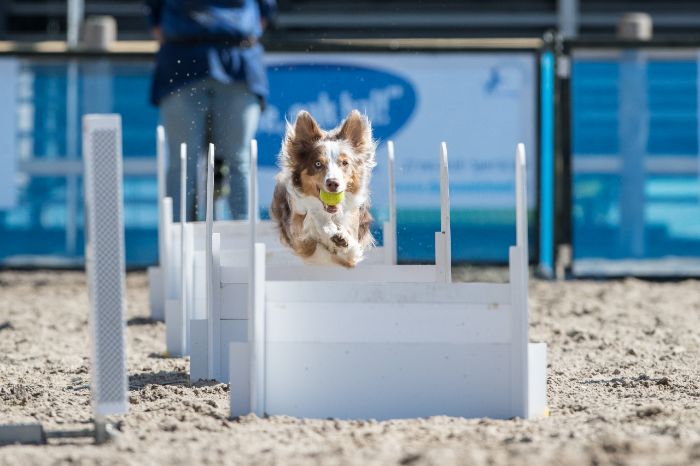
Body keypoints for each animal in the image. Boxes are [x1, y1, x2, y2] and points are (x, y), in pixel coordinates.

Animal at [270, 109, 378, 268]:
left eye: (344, 163)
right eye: (318, 164)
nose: (333, 183)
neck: (331, 214)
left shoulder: (352, 251)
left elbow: (350, 249)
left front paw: (342, 238)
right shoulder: (301, 242)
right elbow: (313, 216)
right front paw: (325, 225)